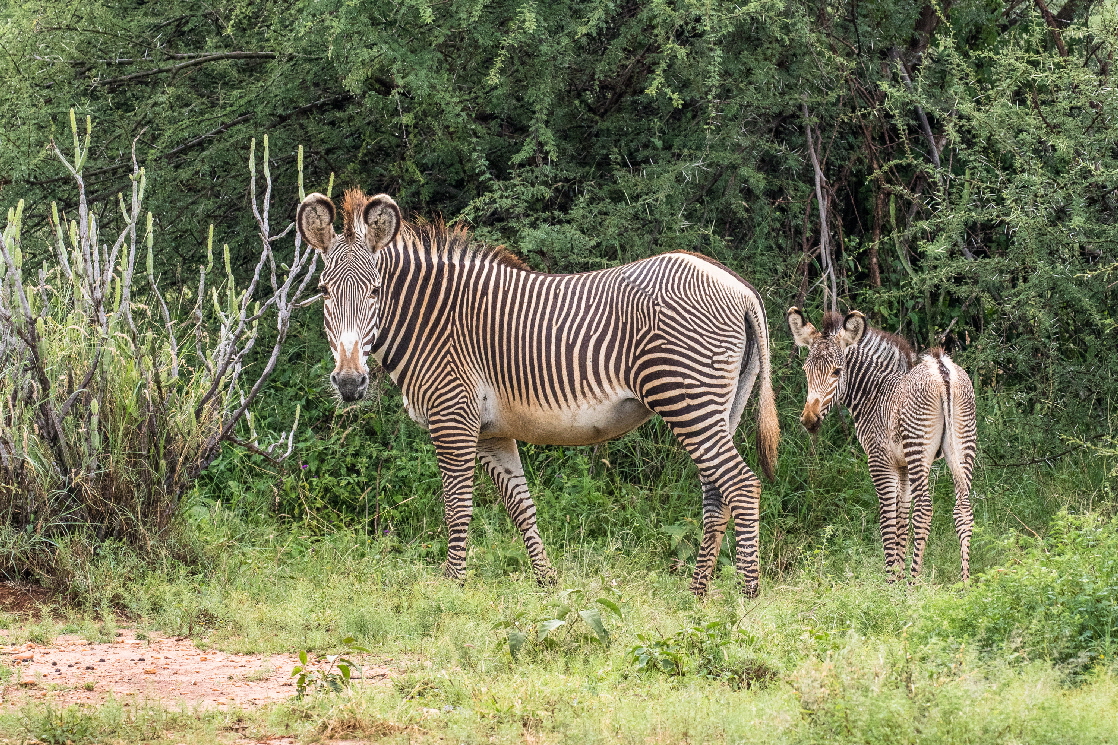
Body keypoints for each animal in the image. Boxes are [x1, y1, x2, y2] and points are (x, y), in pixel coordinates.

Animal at [301, 189, 782, 595]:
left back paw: (747, 597)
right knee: (716, 492)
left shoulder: (453, 418)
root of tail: (739, 287)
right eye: (324, 291)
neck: (430, 318)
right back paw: (698, 594)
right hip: (720, 406)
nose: (349, 382)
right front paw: (548, 583)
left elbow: (457, 506)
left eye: (375, 290)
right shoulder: (491, 432)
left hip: (686, 399)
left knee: (740, 484)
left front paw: (451, 587)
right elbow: (521, 506)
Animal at [787, 306, 979, 581]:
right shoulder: (902, 466)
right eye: (806, 370)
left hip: (919, 449)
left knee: (924, 510)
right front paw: (897, 575)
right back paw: (964, 583)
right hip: (963, 445)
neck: (875, 393)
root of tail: (942, 368)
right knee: (963, 508)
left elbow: (887, 519)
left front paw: (892, 580)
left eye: (837, 371)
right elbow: (901, 517)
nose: (809, 421)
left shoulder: (880, 461)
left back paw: (914, 582)